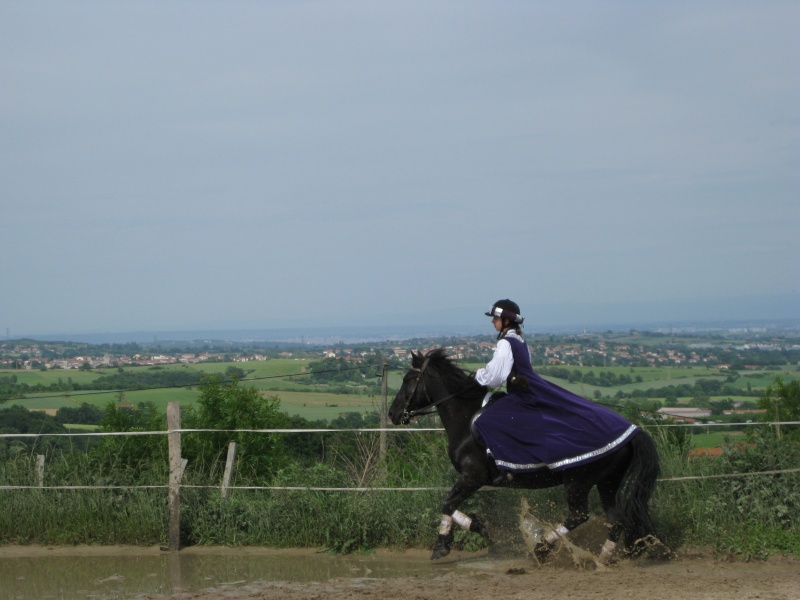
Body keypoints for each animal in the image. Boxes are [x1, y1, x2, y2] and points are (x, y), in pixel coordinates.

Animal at [390, 346, 664, 564]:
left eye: (407, 379)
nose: (393, 414)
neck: (465, 419)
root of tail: (633, 430)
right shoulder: (472, 479)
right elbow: (450, 504)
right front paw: (479, 528)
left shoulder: (473, 476)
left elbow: (447, 503)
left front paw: (448, 542)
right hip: (607, 481)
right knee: (615, 520)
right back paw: (603, 559)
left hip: (579, 480)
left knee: (579, 516)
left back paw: (542, 549)